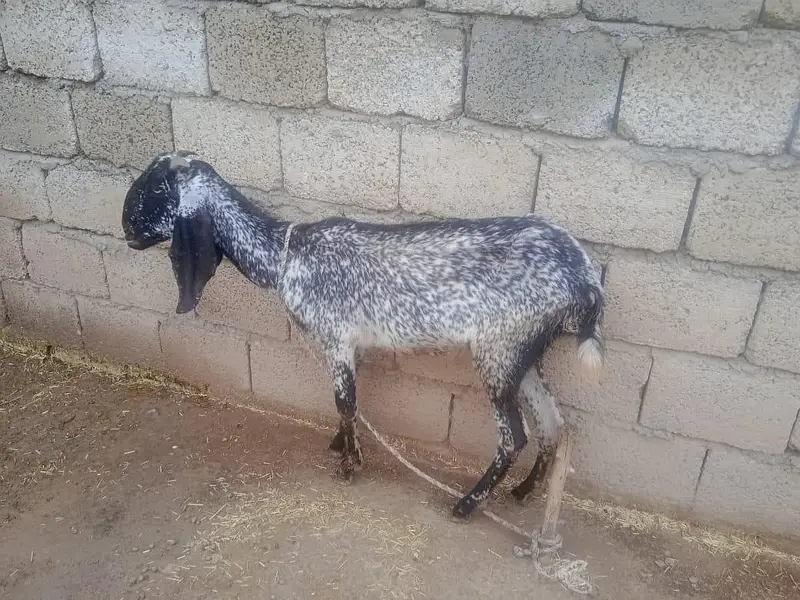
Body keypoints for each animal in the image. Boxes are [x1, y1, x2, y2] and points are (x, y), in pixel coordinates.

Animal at [122, 152, 605, 520]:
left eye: (155, 188)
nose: (126, 228)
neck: (284, 256)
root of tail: (585, 278)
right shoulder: (351, 346)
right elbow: (349, 405)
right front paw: (340, 445)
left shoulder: (336, 340)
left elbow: (345, 402)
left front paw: (350, 465)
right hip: (524, 351)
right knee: (553, 424)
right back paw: (523, 493)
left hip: (498, 349)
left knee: (514, 436)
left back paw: (467, 504)